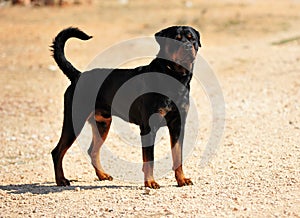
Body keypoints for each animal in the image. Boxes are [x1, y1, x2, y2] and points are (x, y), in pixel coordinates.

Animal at [51, 26, 202, 189]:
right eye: (176, 39)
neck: (173, 77)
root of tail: (78, 76)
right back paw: (61, 180)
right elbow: (149, 159)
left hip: (102, 123)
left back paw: (102, 175)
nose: (188, 46)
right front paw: (150, 182)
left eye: (192, 38)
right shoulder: (148, 127)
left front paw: (181, 179)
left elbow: (178, 155)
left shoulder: (177, 125)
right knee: (57, 151)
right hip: (75, 120)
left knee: (92, 151)